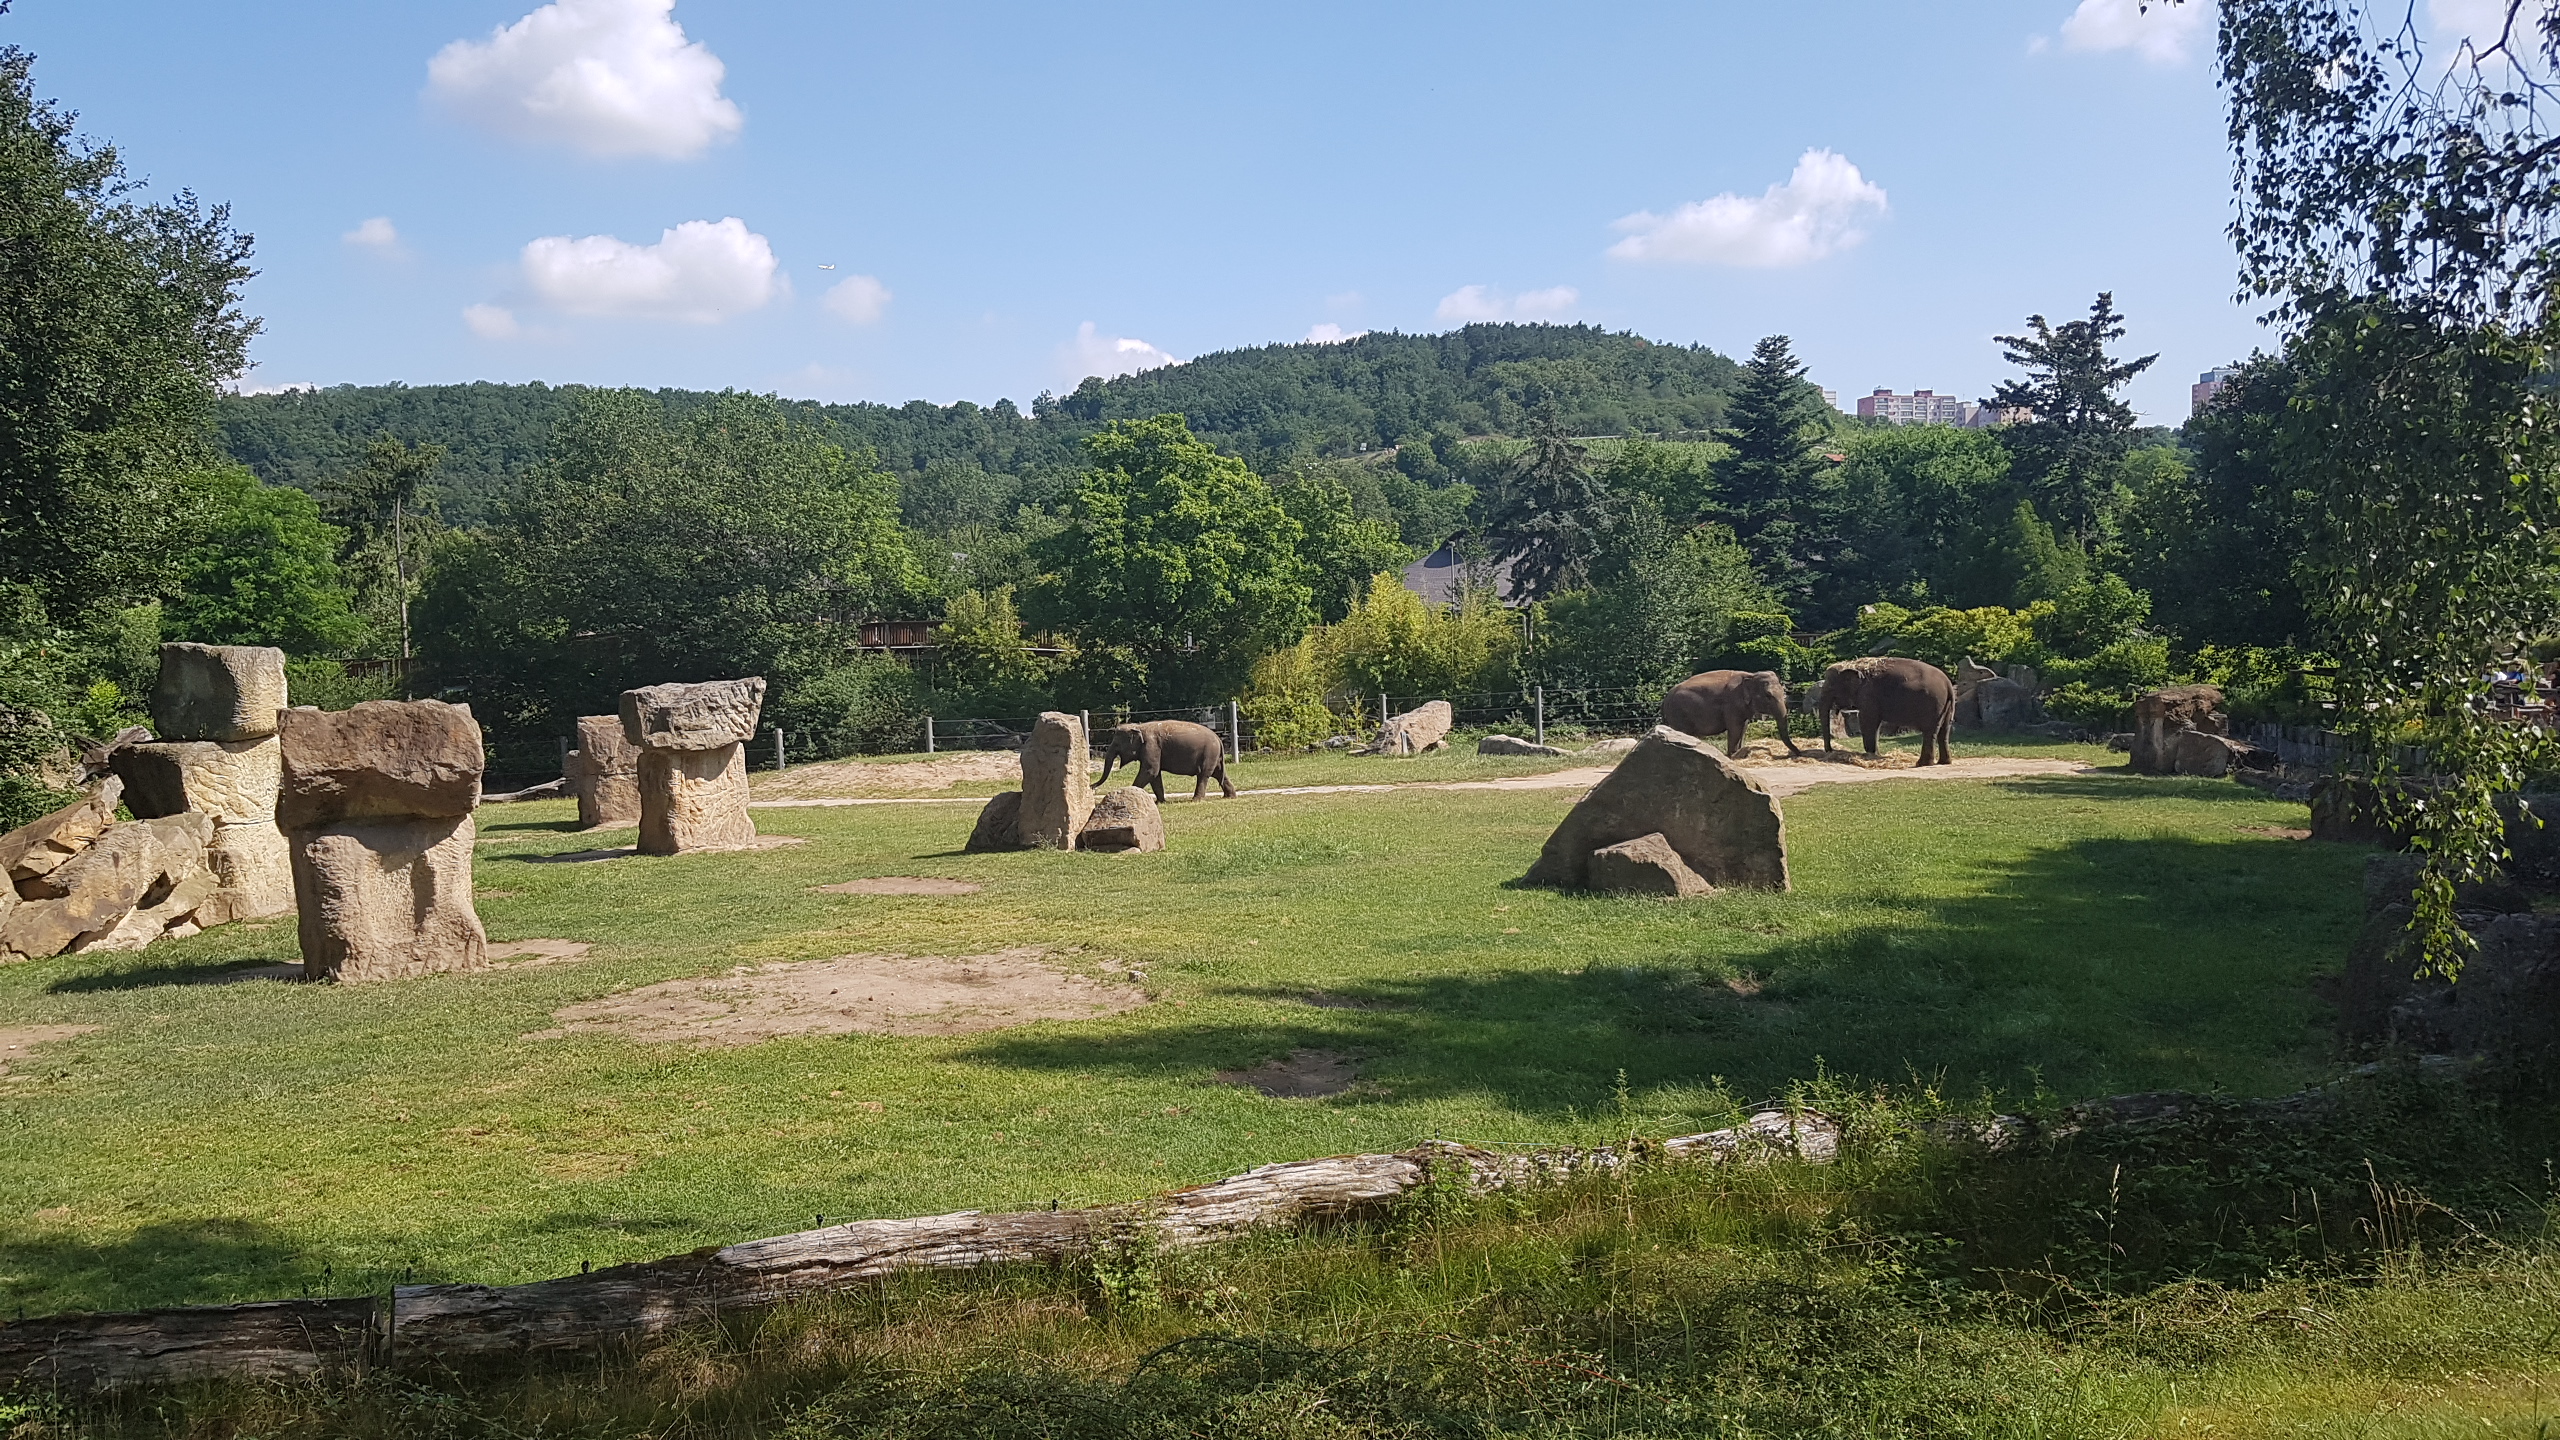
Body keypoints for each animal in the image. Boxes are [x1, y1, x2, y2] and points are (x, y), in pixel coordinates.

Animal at [1097, 719, 1237, 801]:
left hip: (1209, 754)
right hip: (1214, 756)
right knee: (1218, 774)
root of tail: (1219, 739)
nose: (1093, 786)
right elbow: (1155, 775)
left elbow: (1150, 771)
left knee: (1203, 775)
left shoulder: (1151, 746)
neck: (1139, 727)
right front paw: (1160, 802)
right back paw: (1229, 797)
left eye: (1116, 744)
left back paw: (1196, 800)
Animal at [1659, 669, 1799, 758]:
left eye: (1784, 692)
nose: (1798, 753)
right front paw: (1732, 755)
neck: (1751, 675)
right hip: (1679, 714)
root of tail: (1666, 698)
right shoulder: (1732, 703)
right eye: (1768, 695)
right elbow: (1735, 728)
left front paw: (1738, 753)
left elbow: (1743, 728)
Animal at [1814, 657, 1956, 766]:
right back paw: (1944, 762)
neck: (1854, 664)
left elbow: (1867, 720)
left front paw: (1870, 755)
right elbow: (1875, 723)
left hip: (1933, 704)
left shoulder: (1868, 695)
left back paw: (1922, 764)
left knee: (1929, 732)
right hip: (1947, 707)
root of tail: (1948, 684)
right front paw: (1875, 754)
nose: (1830, 750)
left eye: (1830, 687)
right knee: (1944, 731)